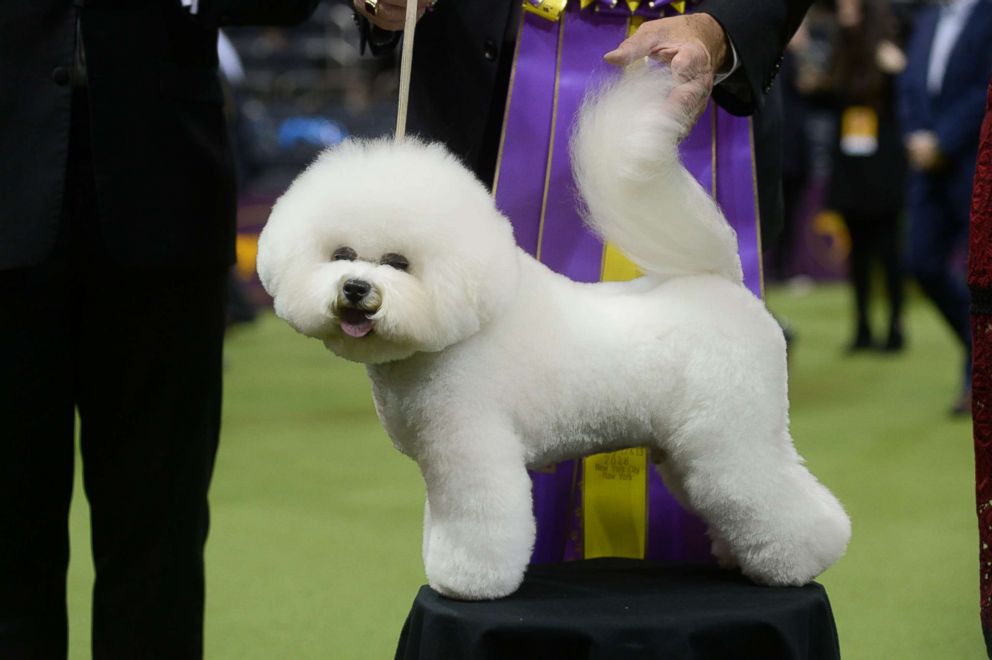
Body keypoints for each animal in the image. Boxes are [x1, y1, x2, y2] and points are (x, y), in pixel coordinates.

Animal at [258, 65, 852, 600]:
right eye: (341, 255)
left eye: (399, 263)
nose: (356, 289)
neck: (459, 331)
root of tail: (723, 282)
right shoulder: (440, 461)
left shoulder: (473, 448)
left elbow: (480, 521)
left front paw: (467, 583)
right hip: (686, 451)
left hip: (732, 436)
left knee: (780, 499)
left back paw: (802, 564)